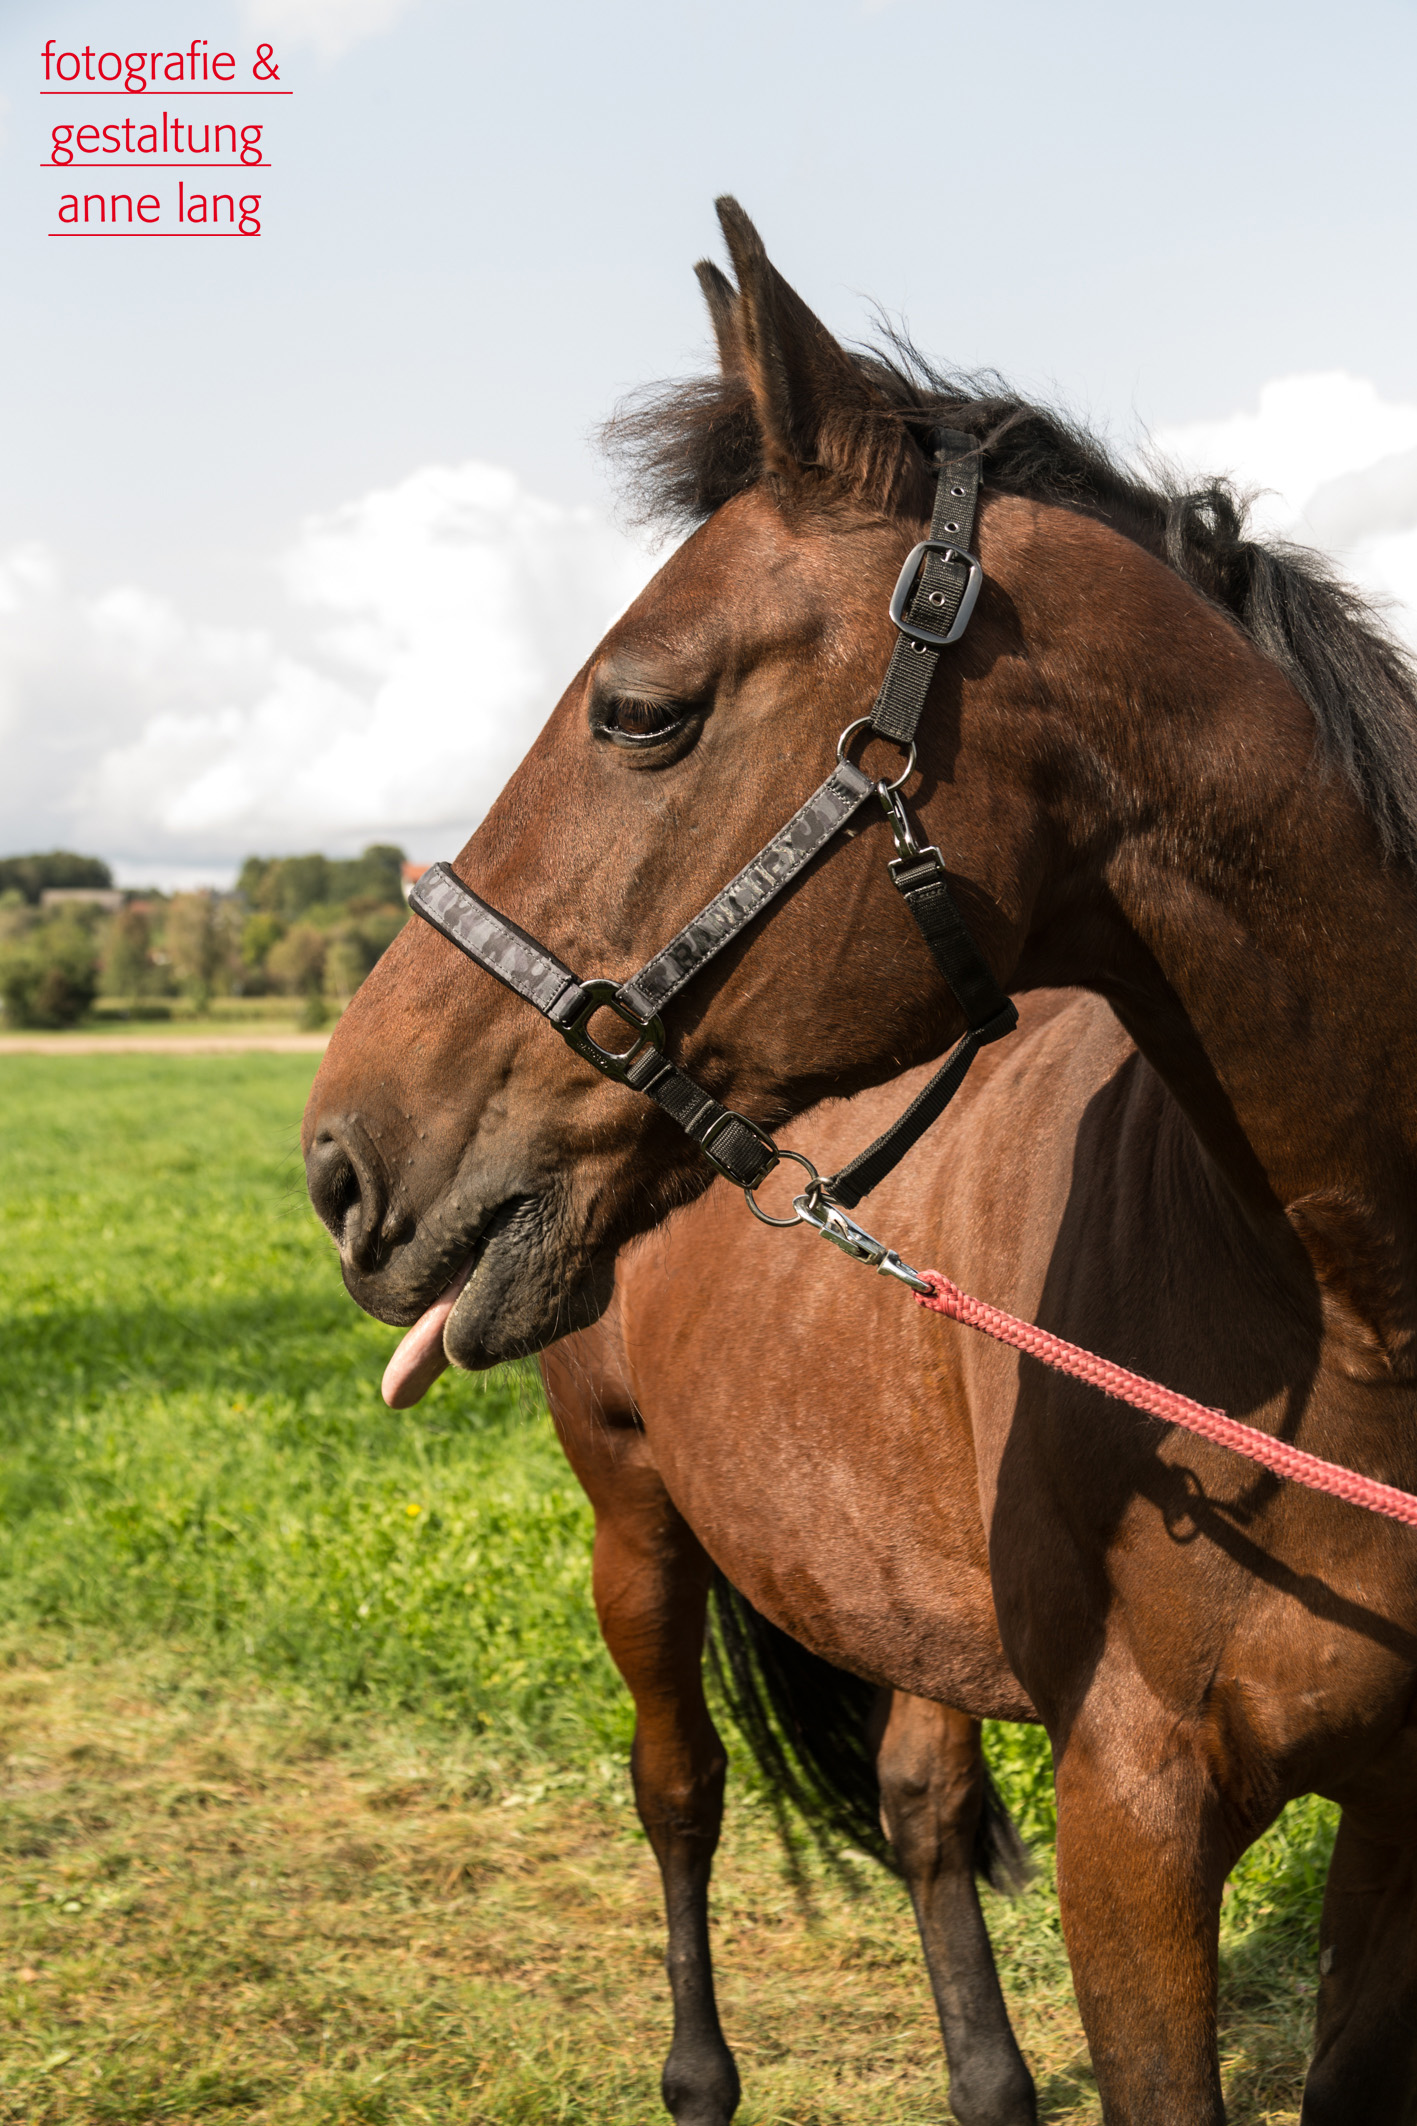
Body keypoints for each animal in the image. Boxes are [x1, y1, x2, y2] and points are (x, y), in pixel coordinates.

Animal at [303, 196, 1417, 2123]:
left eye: (638, 711)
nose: (342, 1160)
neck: (1347, 1321)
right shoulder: (1136, 1818)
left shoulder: (1406, 1820)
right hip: (636, 1528)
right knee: (679, 1792)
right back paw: (698, 2072)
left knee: (915, 1800)